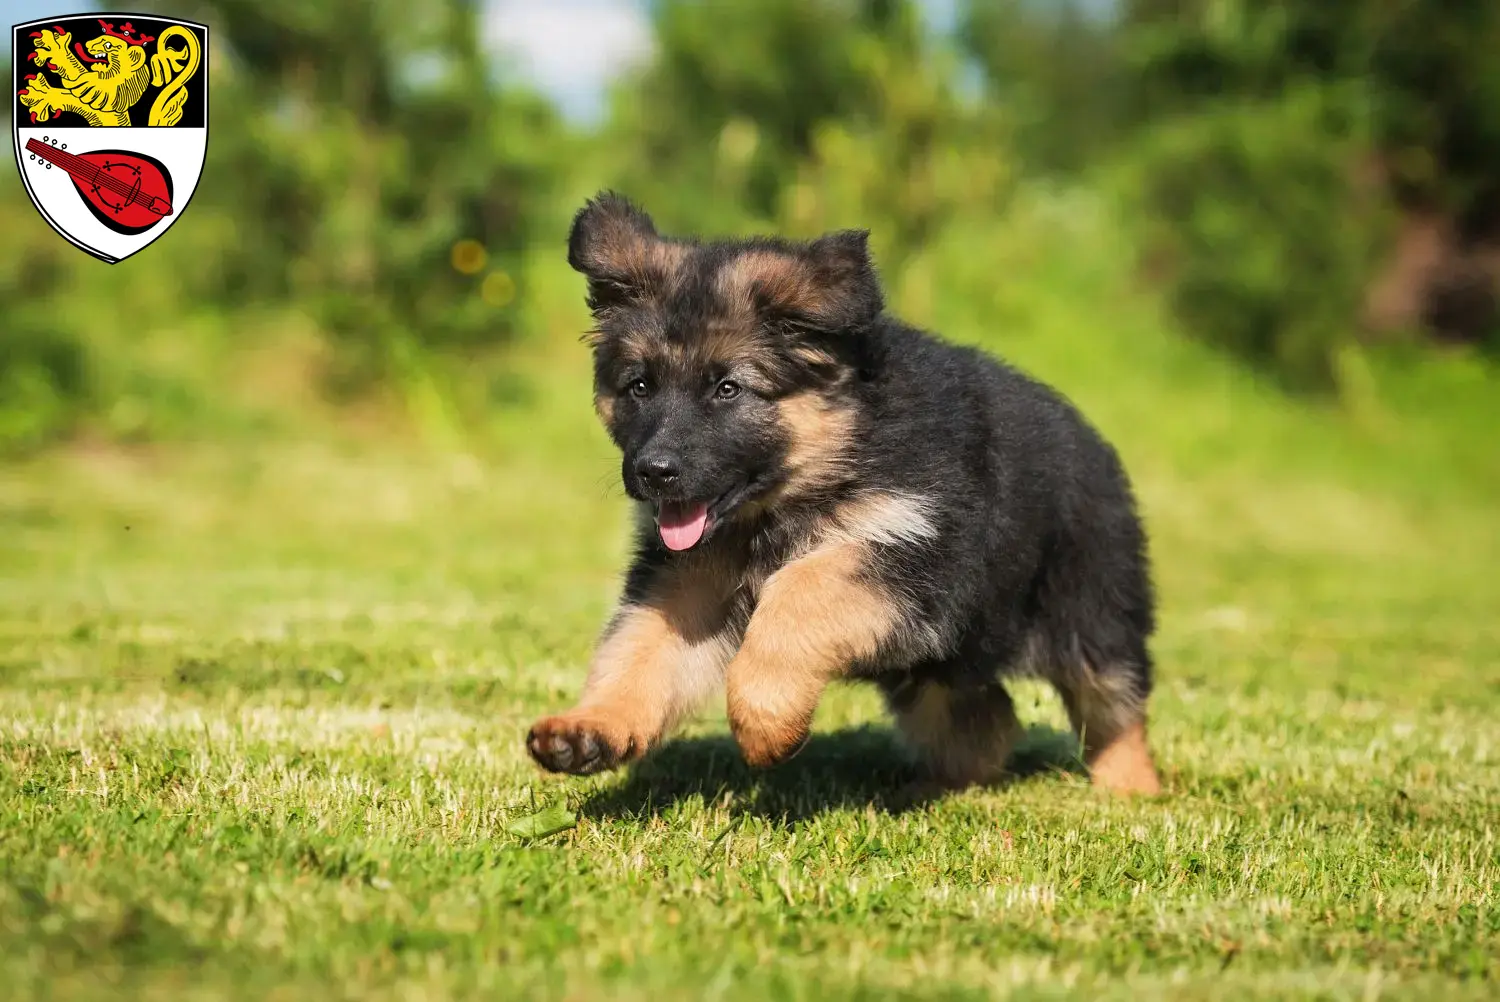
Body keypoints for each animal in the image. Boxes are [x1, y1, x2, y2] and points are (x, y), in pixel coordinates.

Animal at [528, 192, 1158, 792]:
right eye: (639, 386)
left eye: (728, 389)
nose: (653, 471)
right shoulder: (686, 579)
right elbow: (641, 648)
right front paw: (591, 727)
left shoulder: (911, 551)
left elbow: (799, 588)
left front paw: (764, 722)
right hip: (941, 666)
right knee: (985, 719)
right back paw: (942, 785)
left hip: (1090, 612)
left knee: (1113, 706)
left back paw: (1130, 790)